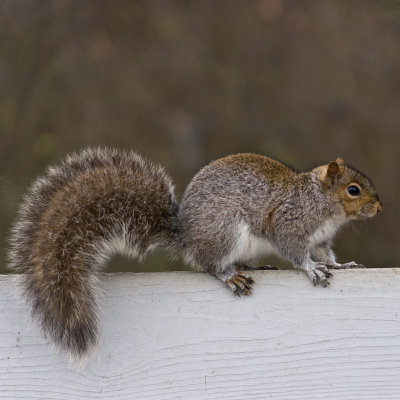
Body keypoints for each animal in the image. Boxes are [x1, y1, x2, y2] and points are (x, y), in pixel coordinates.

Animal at [7, 148, 382, 360]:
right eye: (353, 190)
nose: (379, 208)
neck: (322, 203)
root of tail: (185, 233)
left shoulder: (320, 239)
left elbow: (327, 255)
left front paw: (341, 265)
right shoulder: (289, 224)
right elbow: (297, 252)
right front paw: (311, 269)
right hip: (225, 230)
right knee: (210, 264)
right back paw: (230, 274)